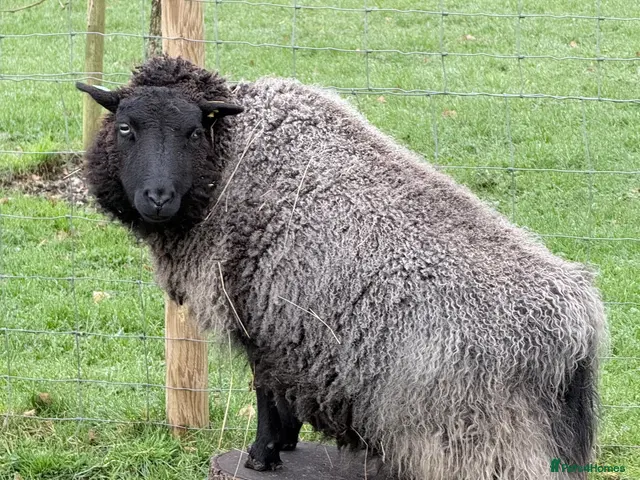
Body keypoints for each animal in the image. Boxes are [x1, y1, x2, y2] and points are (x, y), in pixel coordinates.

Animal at [77, 55, 606, 480]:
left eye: (193, 130)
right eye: (126, 127)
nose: (158, 198)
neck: (231, 163)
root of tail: (580, 329)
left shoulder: (263, 320)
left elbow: (265, 390)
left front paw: (262, 456)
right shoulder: (289, 332)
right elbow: (283, 394)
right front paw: (287, 443)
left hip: (485, 433)